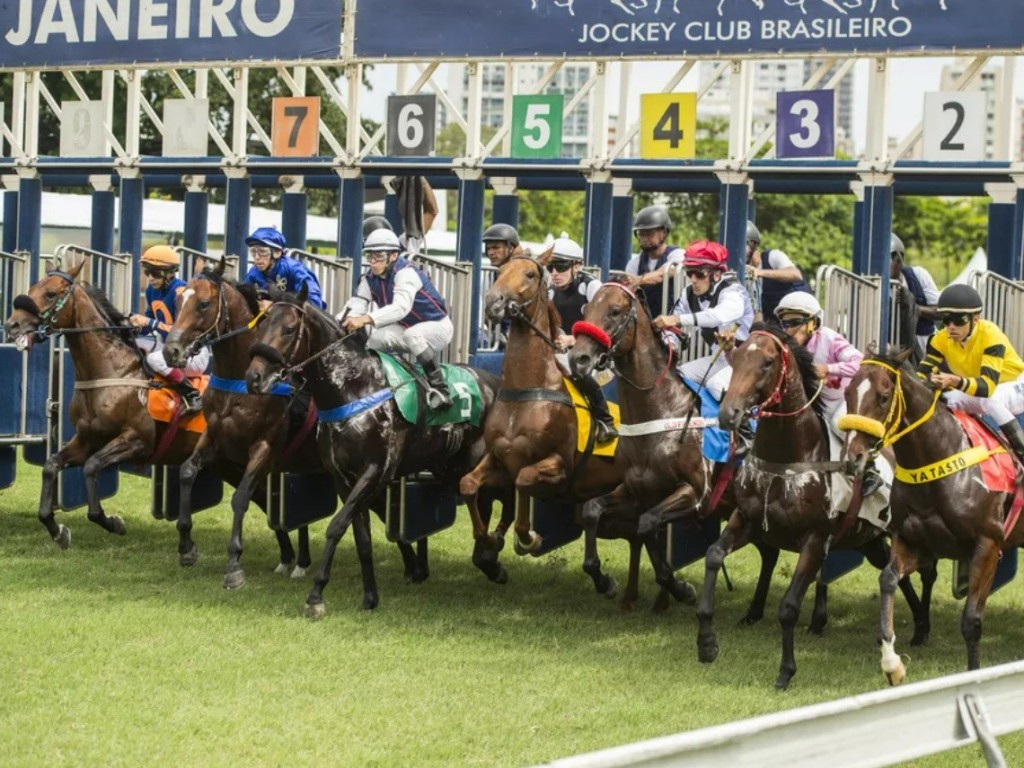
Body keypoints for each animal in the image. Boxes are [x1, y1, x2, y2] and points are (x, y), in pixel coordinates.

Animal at [3, 264, 200, 548]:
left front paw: (112, 521)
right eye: (31, 290)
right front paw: (57, 529)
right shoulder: (87, 438)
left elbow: (92, 467)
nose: (12, 324)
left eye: (51, 294)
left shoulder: (137, 440)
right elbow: (51, 466)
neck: (110, 370)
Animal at [247, 286, 512, 618]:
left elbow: (336, 527)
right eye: (261, 323)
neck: (355, 389)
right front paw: (370, 597)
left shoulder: (375, 471)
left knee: (497, 499)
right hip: (450, 468)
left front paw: (316, 595)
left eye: (289, 329)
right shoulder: (343, 478)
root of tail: (497, 384)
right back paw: (489, 556)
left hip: (478, 463)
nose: (253, 378)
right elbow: (362, 538)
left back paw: (492, 557)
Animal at [704, 325, 937, 692]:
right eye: (737, 356)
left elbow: (788, 607)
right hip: (870, 539)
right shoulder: (746, 521)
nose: (729, 415)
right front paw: (707, 644)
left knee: (925, 571)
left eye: (767, 362)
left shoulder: (814, 540)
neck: (788, 458)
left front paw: (786, 671)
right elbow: (713, 556)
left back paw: (922, 627)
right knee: (893, 570)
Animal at [839, 352, 1024, 684]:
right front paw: (892, 664)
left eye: (883, 397)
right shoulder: (914, 541)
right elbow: (888, 579)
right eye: (847, 394)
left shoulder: (988, 544)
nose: (853, 458)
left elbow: (972, 621)